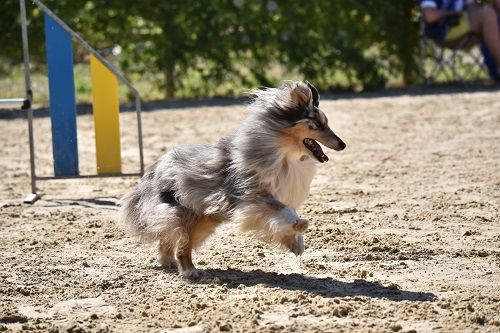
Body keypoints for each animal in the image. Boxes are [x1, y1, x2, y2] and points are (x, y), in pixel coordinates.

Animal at [119, 81, 346, 278]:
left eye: (326, 123)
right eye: (318, 125)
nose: (343, 145)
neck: (283, 153)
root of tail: (154, 168)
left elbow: (283, 217)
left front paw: (296, 243)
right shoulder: (252, 195)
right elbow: (284, 210)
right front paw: (299, 226)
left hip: (204, 220)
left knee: (169, 239)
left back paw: (168, 262)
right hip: (183, 213)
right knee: (182, 245)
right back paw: (190, 271)